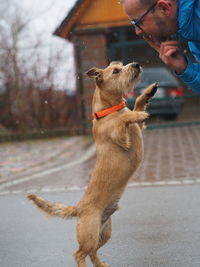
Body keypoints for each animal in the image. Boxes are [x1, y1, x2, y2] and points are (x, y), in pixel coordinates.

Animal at [27, 61, 157, 266]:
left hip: (104, 232)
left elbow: (137, 103)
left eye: (121, 65)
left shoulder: (137, 129)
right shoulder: (121, 137)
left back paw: (101, 265)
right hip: (89, 233)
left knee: (92, 252)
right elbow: (124, 118)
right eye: (116, 71)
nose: (136, 64)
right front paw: (137, 115)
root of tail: (78, 209)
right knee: (79, 253)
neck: (109, 111)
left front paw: (149, 92)